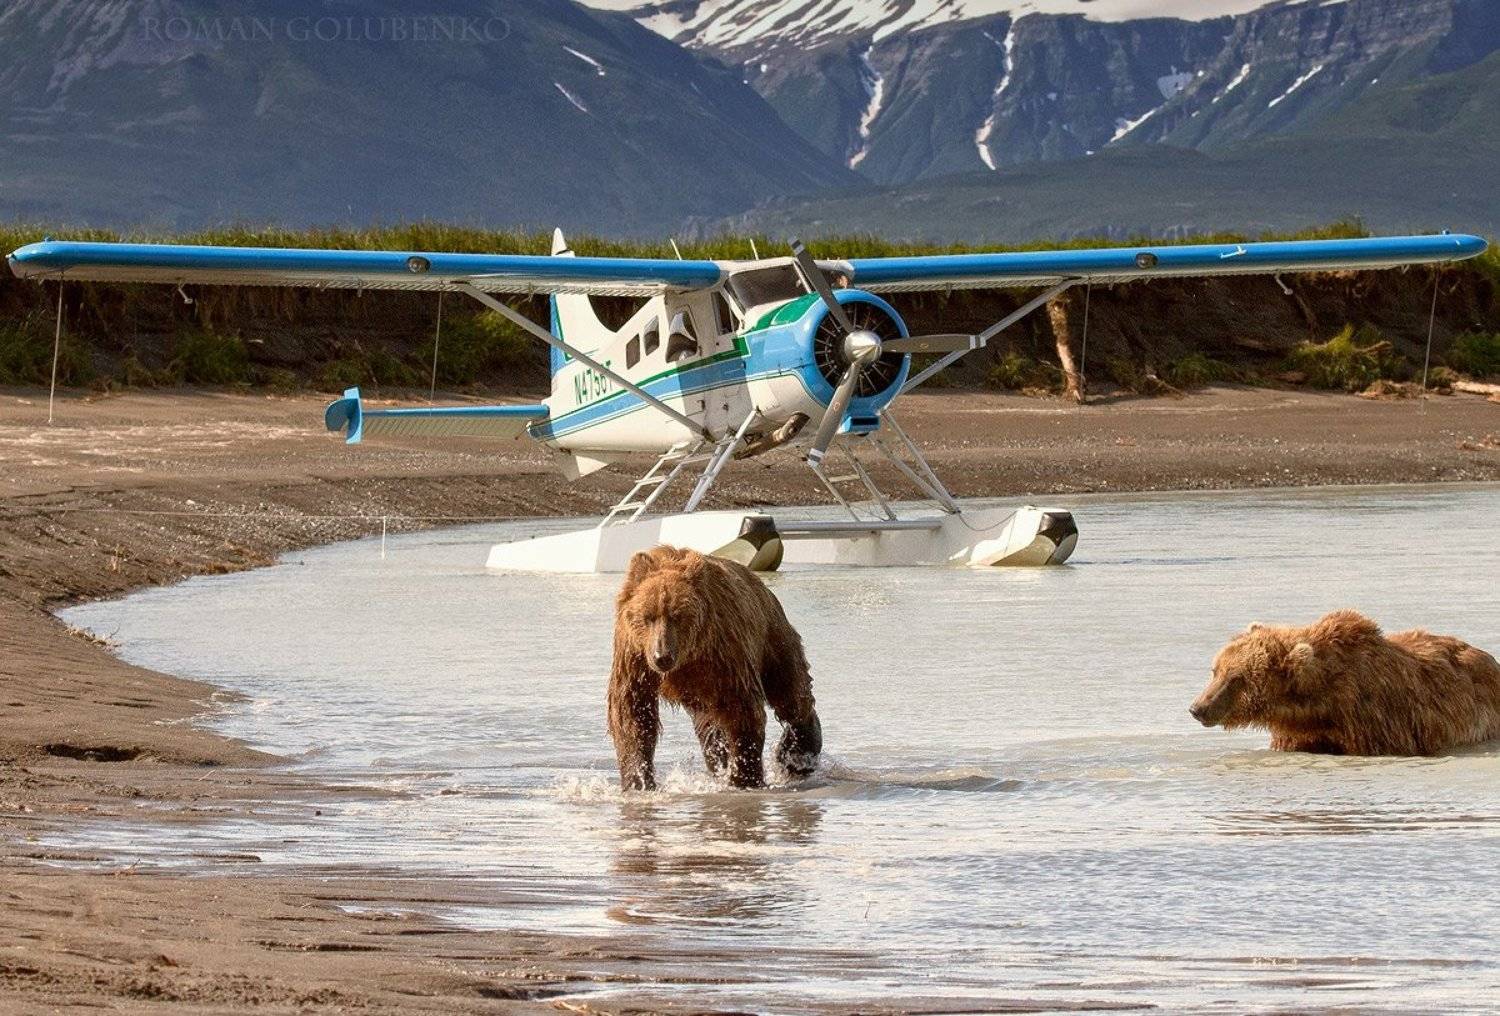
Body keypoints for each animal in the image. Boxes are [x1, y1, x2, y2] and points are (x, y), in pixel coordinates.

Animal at [609, 545, 822, 790]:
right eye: (648, 616)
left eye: (677, 616)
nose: (662, 657)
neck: (689, 655)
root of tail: (764, 587)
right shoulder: (634, 656)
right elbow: (632, 710)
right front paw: (639, 780)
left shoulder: (725, 650)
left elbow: (742, 708)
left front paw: (744, 778)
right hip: (700, 690)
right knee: (709, 727)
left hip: (773, 639)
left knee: (790, 695)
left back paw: (797, 755)